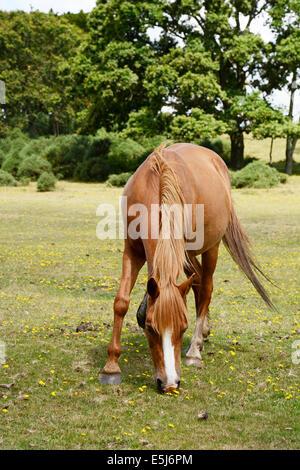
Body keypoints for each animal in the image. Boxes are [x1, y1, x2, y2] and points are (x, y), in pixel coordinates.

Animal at [99, 141, 274, 392]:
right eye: (150, 328)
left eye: (183, 327)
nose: (170, 384)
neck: (157, 184)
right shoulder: (132, 251)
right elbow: (121, 302)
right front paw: (111, 366)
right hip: (188, 256)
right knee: (198, 283)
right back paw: (204, 333)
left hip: (207, 249)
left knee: (207, 286)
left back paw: (195, 350)